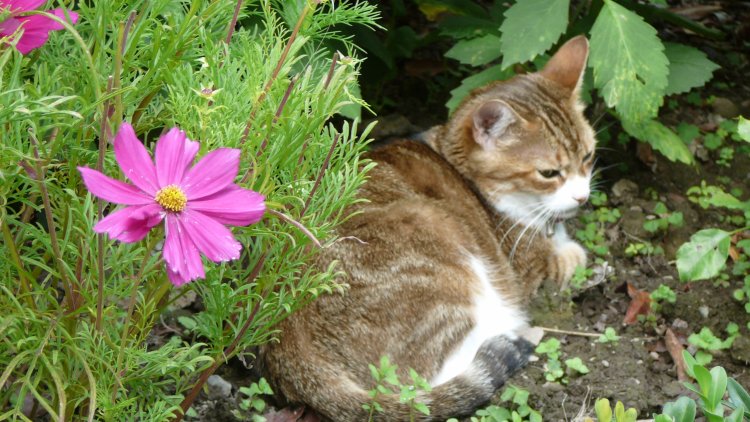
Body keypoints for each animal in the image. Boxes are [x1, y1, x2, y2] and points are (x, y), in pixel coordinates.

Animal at [262, 37, 596, 422]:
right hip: (441, 248)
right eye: (548, 173)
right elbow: (567, 257)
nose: (583, 196)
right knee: (426, 384)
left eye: (588, 157)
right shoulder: (527, 266)